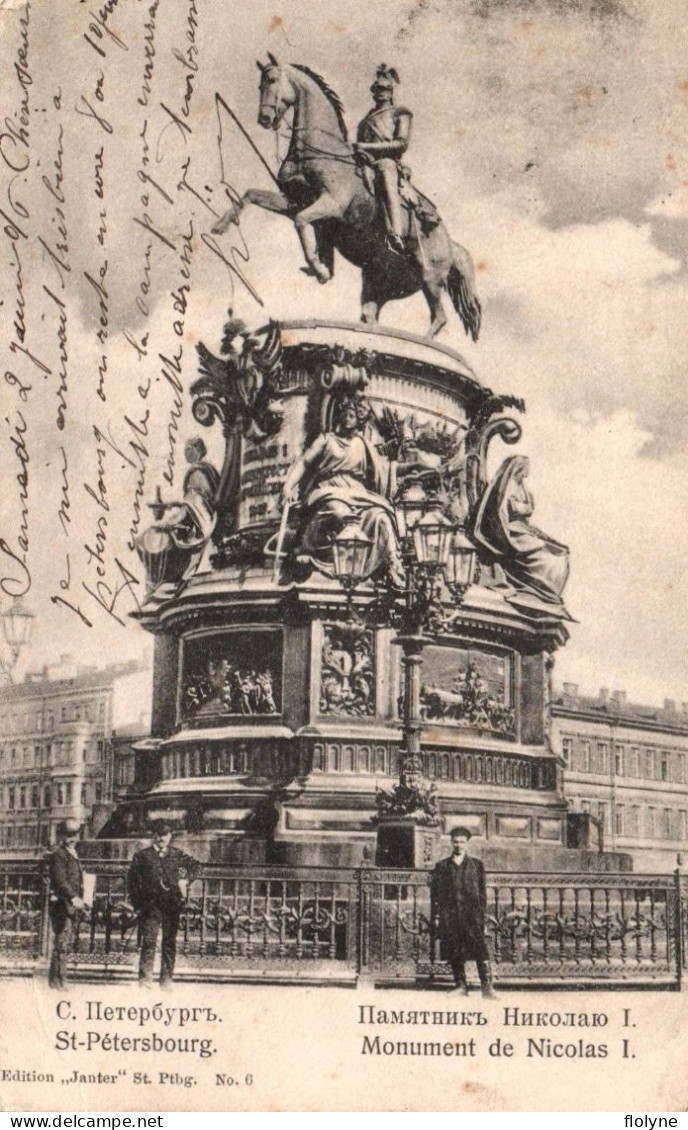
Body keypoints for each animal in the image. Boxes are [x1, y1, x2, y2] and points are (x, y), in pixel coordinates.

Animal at [212, 57, 481, 339]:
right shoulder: (294, 202)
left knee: (439, 317)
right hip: (379, 280)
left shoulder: (331, 204)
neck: (319, 152)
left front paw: (319, 268)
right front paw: (220, 225)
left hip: (430, 276)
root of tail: (452, 244)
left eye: (273, 80)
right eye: (260, 84)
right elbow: (251, 195)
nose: (265, 118)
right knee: (370, 315)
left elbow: (301, 221)